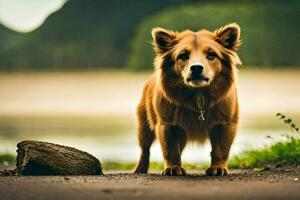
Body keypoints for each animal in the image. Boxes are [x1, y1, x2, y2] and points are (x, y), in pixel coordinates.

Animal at [134, 23, 241, 176]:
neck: (198, 96)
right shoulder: (168, 124)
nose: (196, 68)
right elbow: (171, 150)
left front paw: (218, 168)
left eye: (211, 55)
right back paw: (140, 169)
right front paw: (173, 168)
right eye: (183, 56)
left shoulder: (225, 123)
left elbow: (220, 150)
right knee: (145, 149)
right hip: (144, 126)